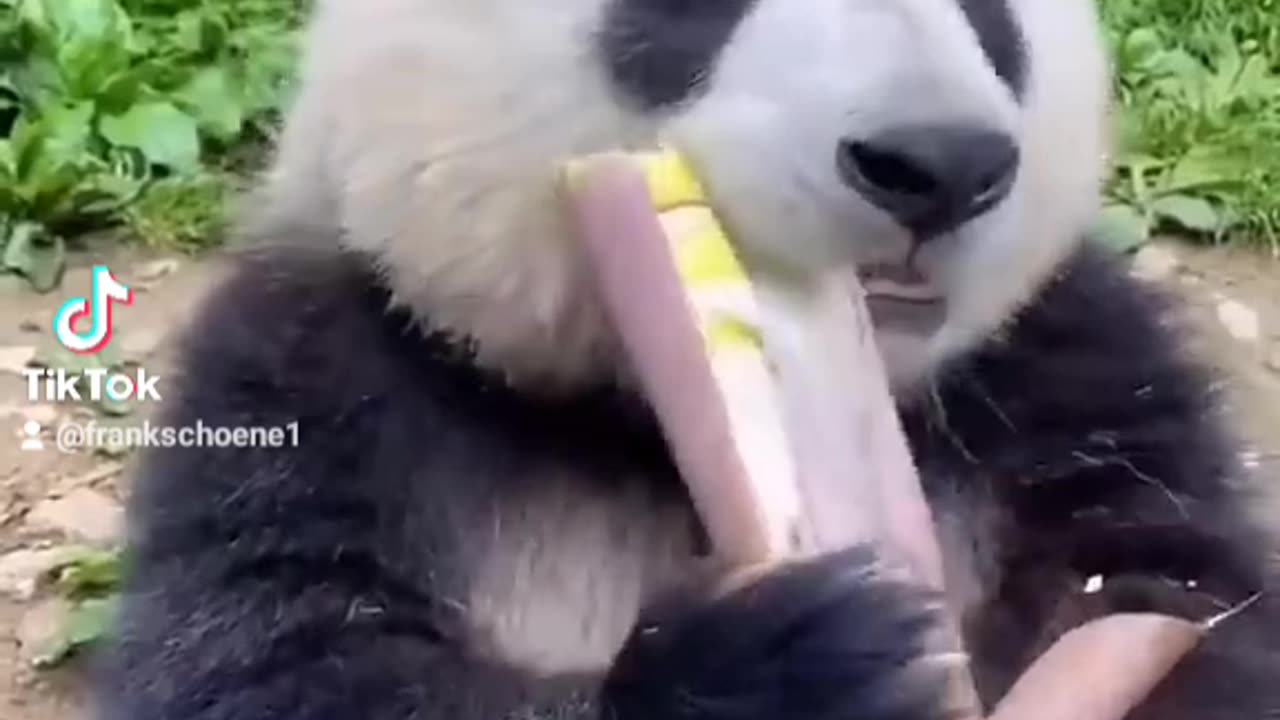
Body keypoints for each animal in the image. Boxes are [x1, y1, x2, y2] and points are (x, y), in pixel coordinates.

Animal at [95, 0, 1280, 719]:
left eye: (993, 17)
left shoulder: (1069, 371)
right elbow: (270, 663)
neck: (628, 424)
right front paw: (794, 656)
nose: (937, 166)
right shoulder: (324, 387)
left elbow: (1187, 597)